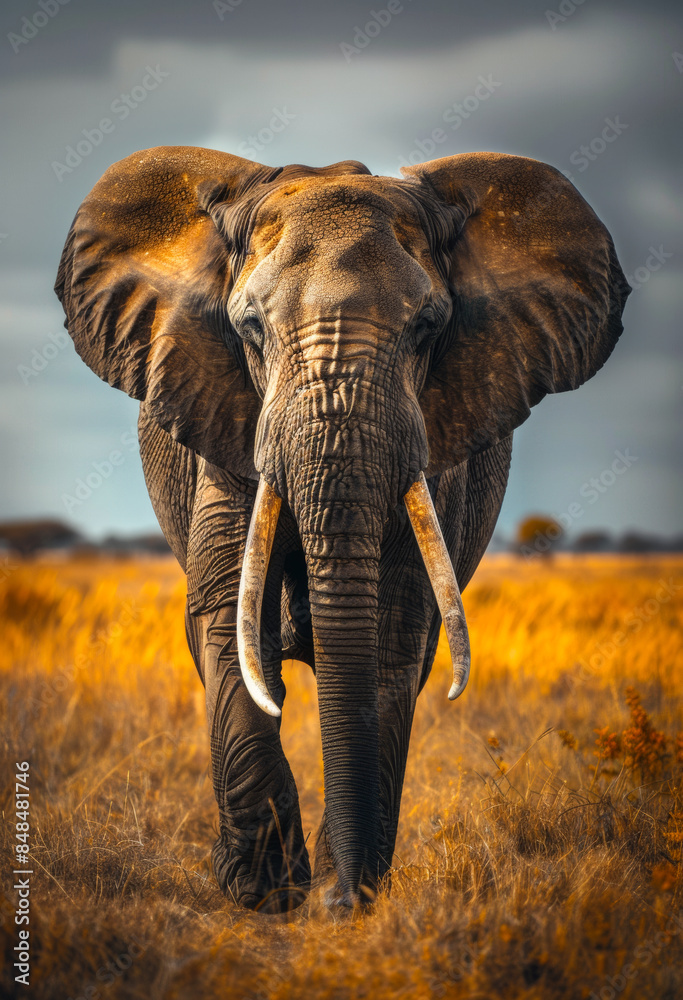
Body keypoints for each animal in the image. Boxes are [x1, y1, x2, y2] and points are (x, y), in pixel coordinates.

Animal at [55, 146, 630, 912]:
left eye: (426, 329)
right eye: (249, 329)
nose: (341, 897)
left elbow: (388, 635)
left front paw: (340, 898)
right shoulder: (224, 428)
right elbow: (228, 623)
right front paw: (265, 896)